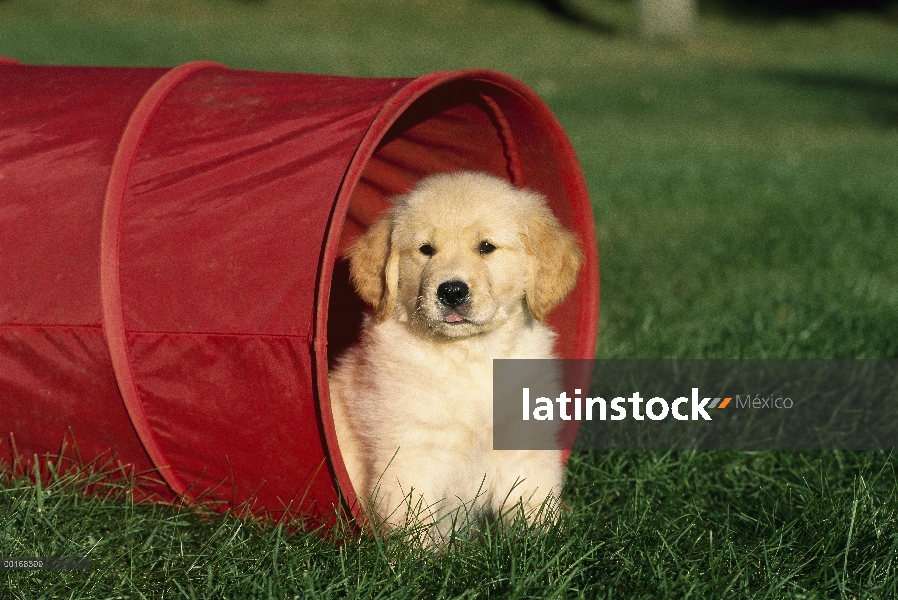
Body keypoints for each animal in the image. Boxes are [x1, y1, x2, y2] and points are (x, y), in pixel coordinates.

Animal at [328, 170, 580, 544]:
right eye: (426, 250)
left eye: (486, 247)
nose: (451, 291)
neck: (470, 355)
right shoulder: (411, 450)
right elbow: (413, 518)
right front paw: (421, 557)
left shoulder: (523, 441)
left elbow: (533, 500)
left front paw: (544, 544)